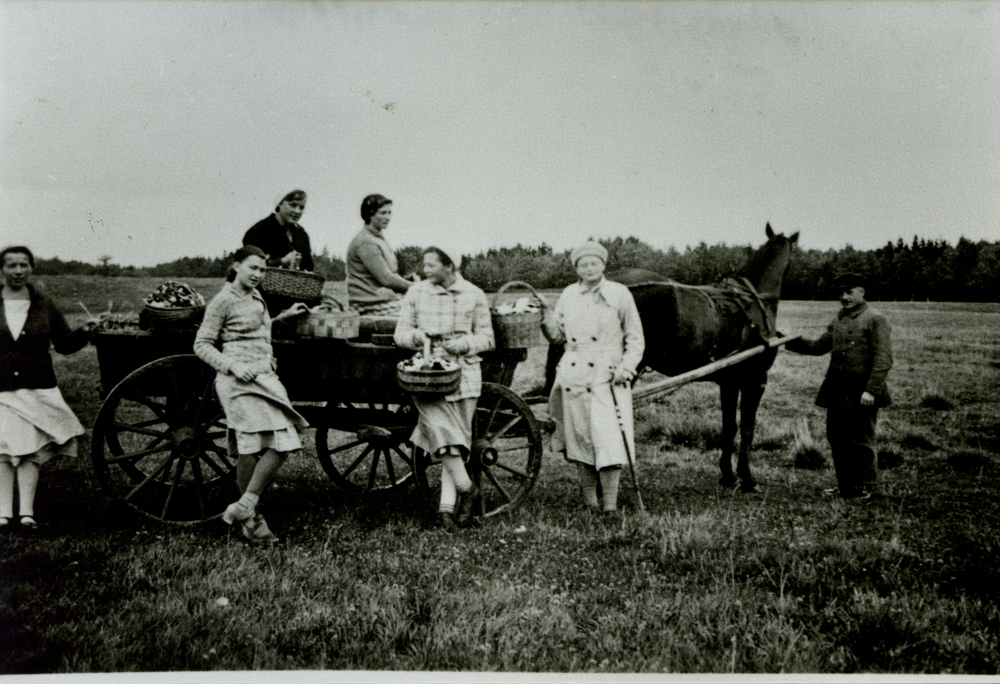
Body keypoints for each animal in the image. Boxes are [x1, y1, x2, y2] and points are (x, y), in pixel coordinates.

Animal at [544, 224, 800, 492]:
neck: (752, 300)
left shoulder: (730, 382)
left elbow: (729, 427)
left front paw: (728, 475)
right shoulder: (756, 380)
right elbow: (748, 429)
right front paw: (746, 477)